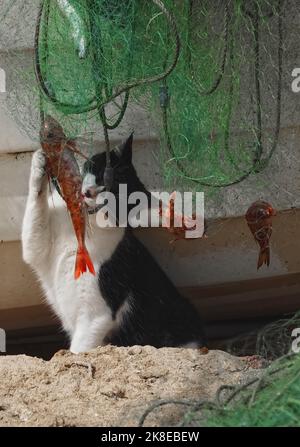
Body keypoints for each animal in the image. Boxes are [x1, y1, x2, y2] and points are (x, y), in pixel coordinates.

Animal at [22, 135, 205, 352]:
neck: (81, 228)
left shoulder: (95, 316)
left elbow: (78, 350)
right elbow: (35, 210)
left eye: (113, 196)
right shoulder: (37, 248)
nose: (89, 192)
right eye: (99, 173)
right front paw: (40, 162)